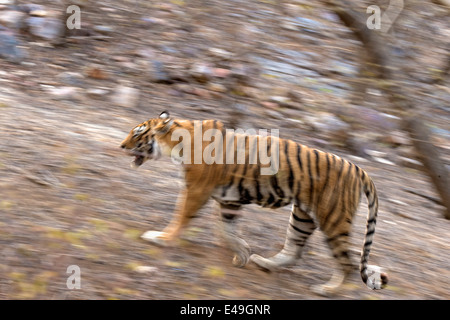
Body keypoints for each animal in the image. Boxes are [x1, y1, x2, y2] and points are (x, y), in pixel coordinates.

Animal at [119, 111, 386, 296]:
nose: (121, 146)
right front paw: (243, 253)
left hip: (333, 219)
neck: (178, 143)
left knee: (347, 263)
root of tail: (358, 168)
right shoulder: (227, 200)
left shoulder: (196, 191)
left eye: (137, 133)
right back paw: (264, 262)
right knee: (293, 250)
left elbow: (181, 217)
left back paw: (327, 290)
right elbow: (226, 230)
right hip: (302, 215)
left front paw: (161, 238)